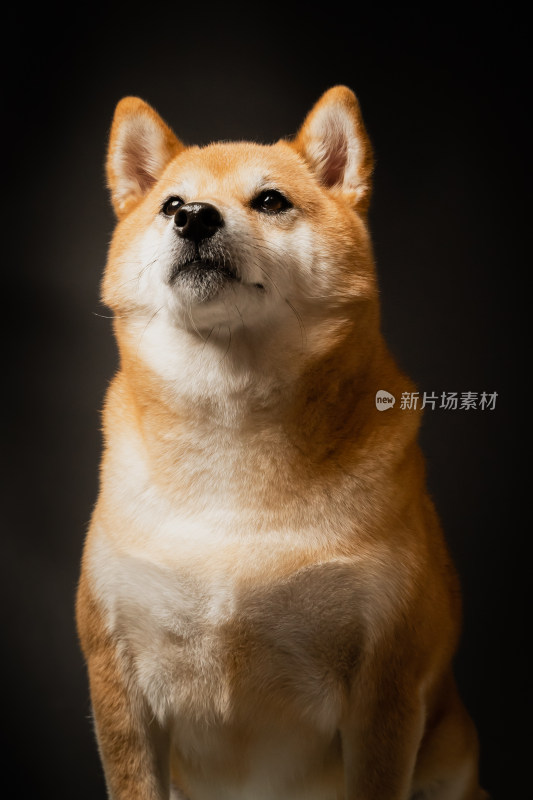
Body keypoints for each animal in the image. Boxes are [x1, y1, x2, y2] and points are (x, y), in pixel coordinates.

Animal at [75, 87, 486, 800]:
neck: (233, 432)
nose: (196, 220)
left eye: (270, 200)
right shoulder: (117, 679)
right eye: (171, 205)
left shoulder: (386, 688)